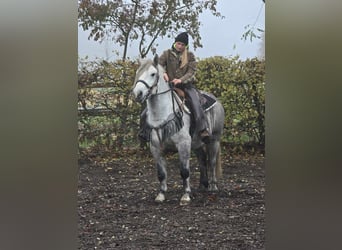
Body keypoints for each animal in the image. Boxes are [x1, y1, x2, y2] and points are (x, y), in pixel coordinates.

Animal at [131, 54, 224, 205]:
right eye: (137, 72)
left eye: (153, 74)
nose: (137, 93)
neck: (163, 113)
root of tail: (216, 100)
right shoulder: (155, 147)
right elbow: (161, 173)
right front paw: (161, 194)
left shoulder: (183, 144)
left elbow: (185, 171)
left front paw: (186, 195)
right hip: (197, 143)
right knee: (202, 160)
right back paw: (202, 185)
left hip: (214, 140)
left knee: (212, 161)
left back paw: (213, 186)